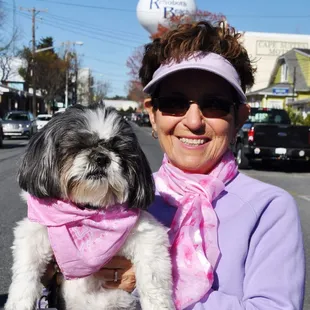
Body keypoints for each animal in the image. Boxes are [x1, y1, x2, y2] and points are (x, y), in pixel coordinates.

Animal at [4, 104, 174, 310]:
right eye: (79, 145)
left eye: (118, 150)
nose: (101, 157)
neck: (87, 210)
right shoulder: (35, 232)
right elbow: (25, 270)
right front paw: (18, 302)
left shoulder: (148, 234)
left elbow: (154, 278)